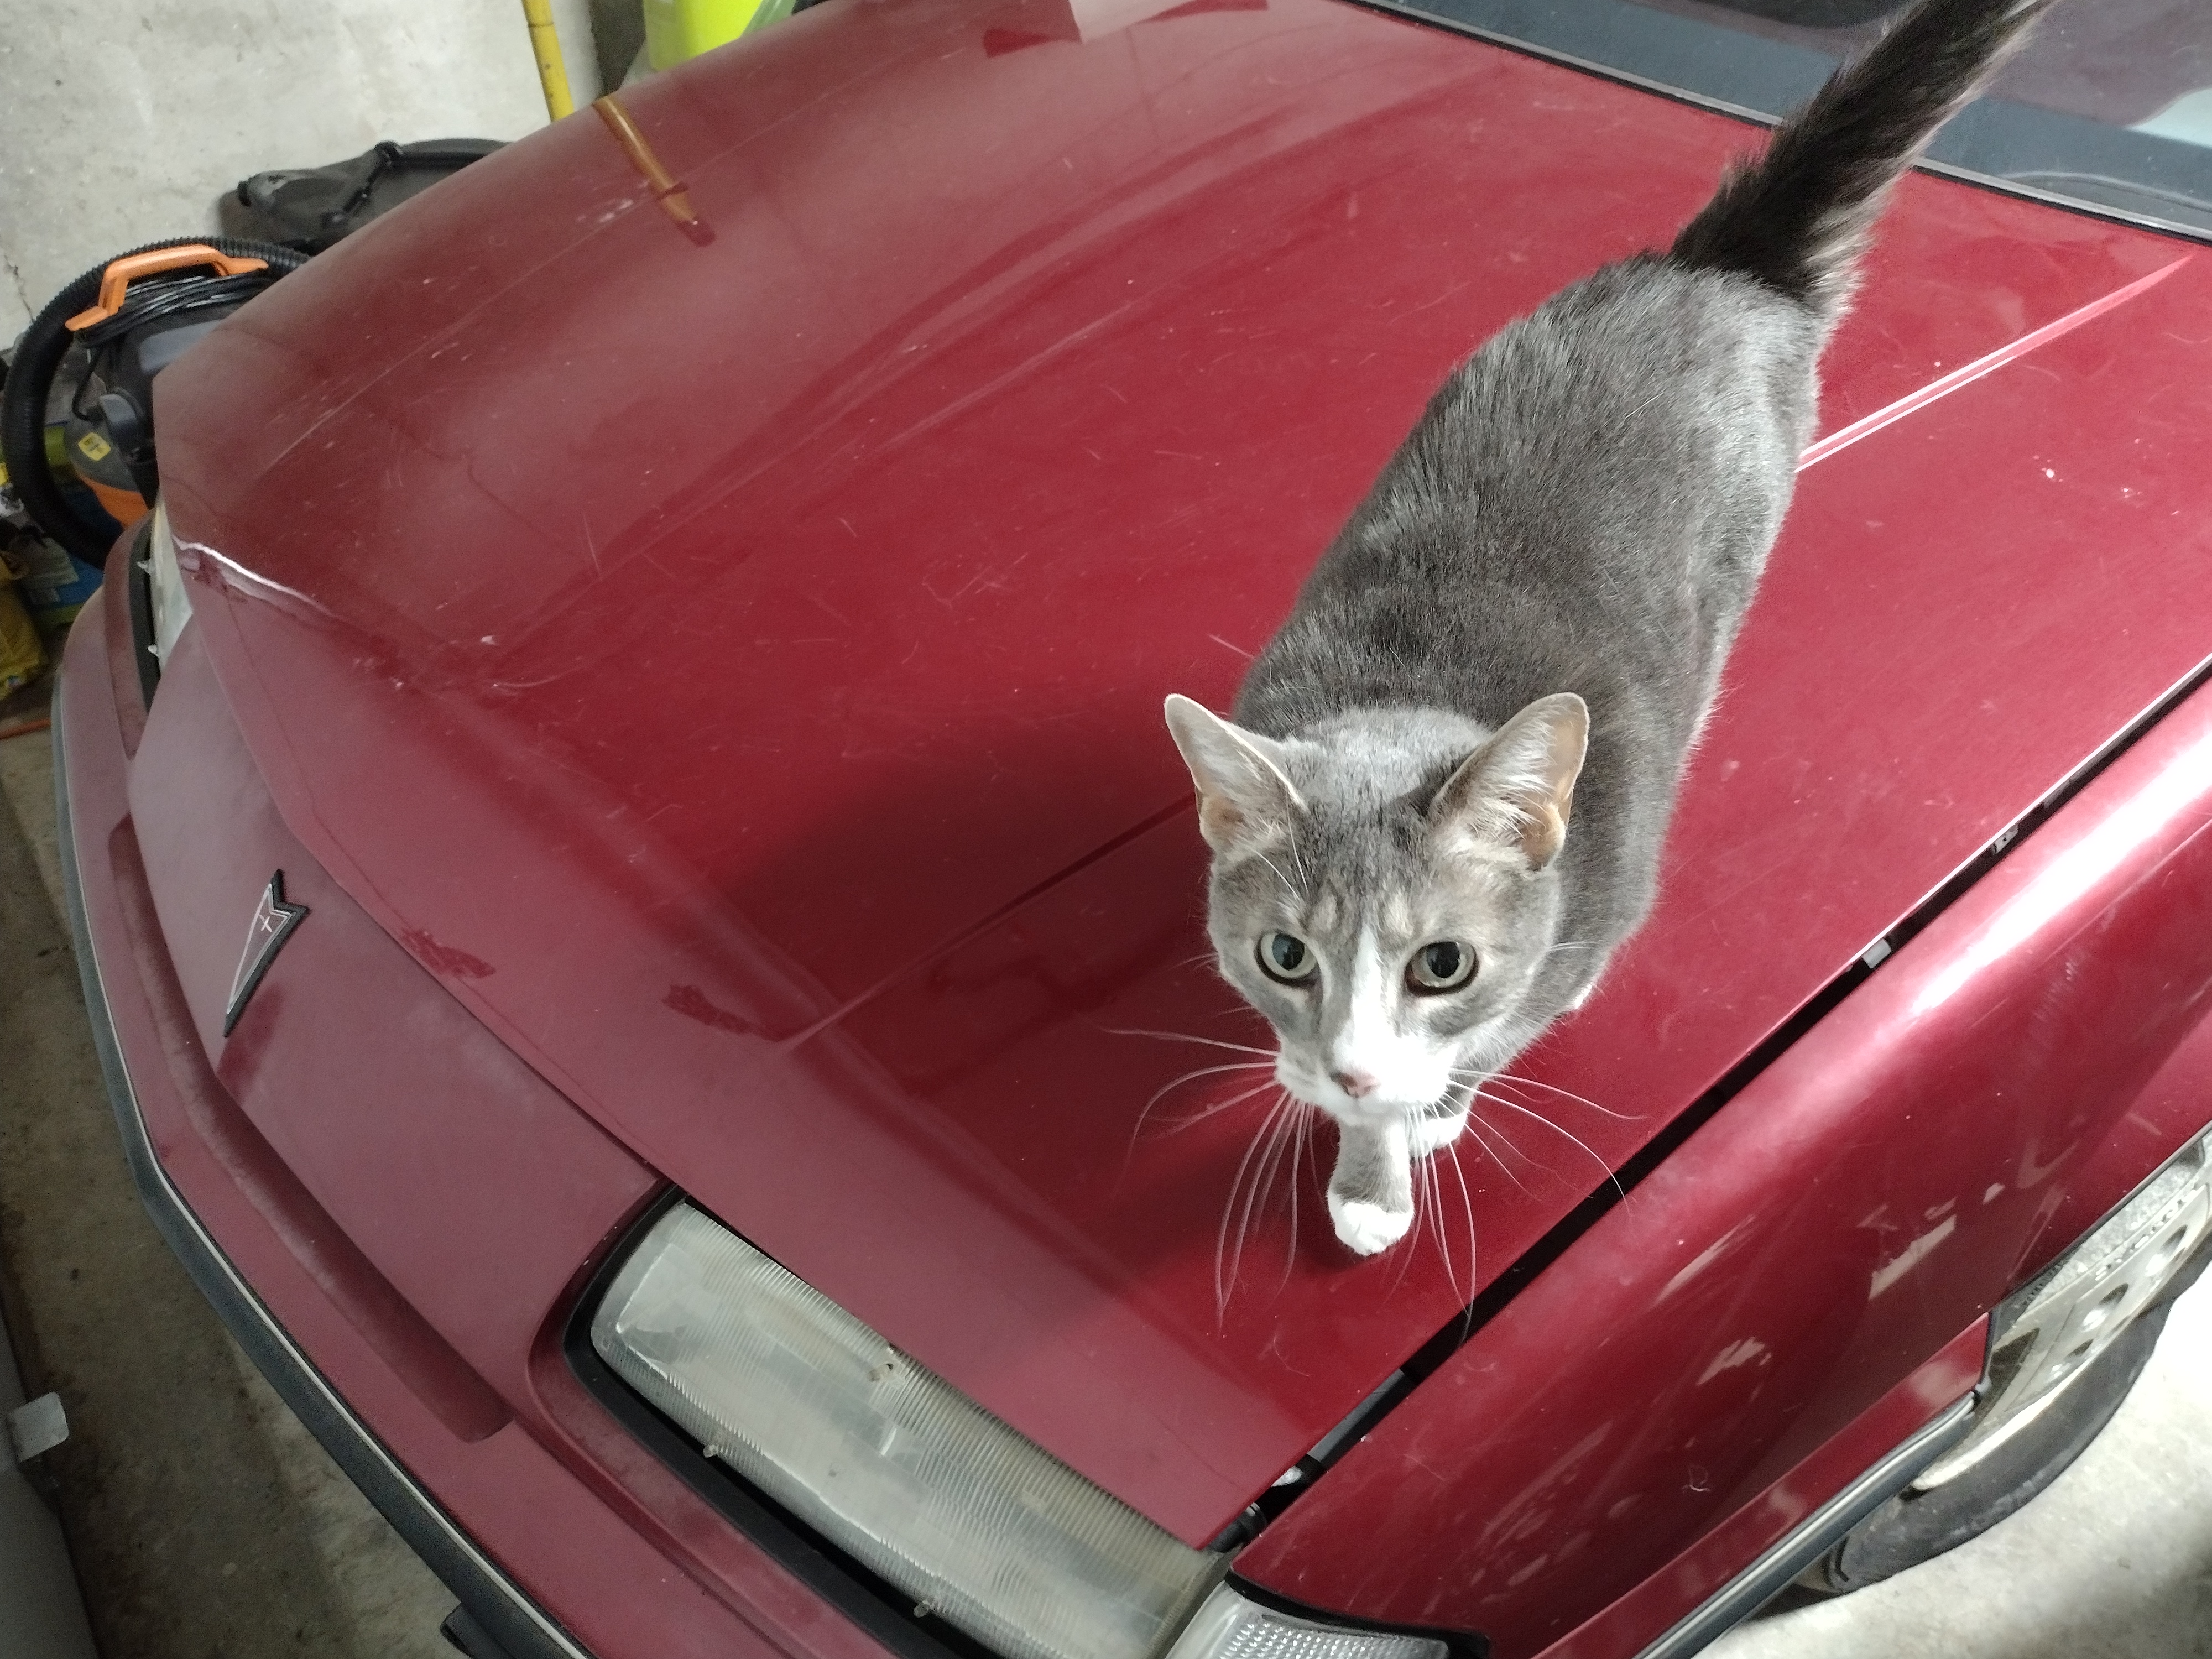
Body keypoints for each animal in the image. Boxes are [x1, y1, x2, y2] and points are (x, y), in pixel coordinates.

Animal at [1168, 0, 2044, 1256]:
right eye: (1283, 956)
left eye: (1441, 964)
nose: (1351, 1071)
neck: (1409, 681)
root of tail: (1715, 271)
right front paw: (1362, 1157)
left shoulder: (1579, 908)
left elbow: (1496, 1029)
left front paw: (1414, 1128)